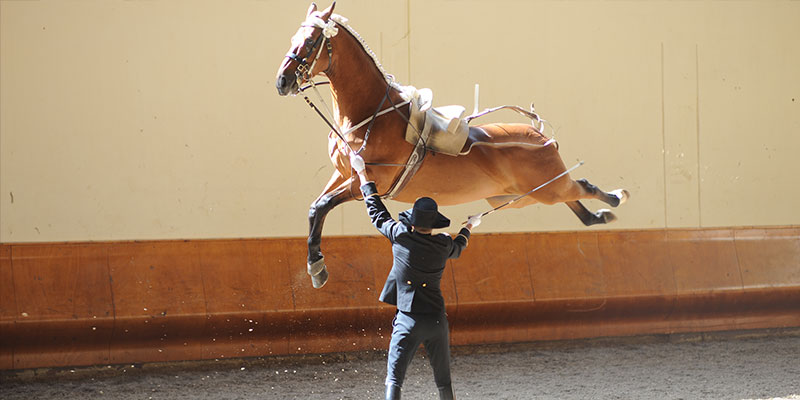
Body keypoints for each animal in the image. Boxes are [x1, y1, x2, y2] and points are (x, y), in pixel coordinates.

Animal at [276, 3, 632, 290]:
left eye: (310, 42)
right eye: (294, 37)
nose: (282, 81)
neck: (370, 115)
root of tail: (541, 136)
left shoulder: (368, 182)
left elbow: (321, 207)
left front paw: (317, 269)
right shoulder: (344, 175)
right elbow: (315, 208)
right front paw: (316, 267)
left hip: (548, 189)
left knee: (582, 186)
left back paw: (616, 198)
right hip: (522, 197)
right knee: (577, 202)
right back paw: (600, 215)